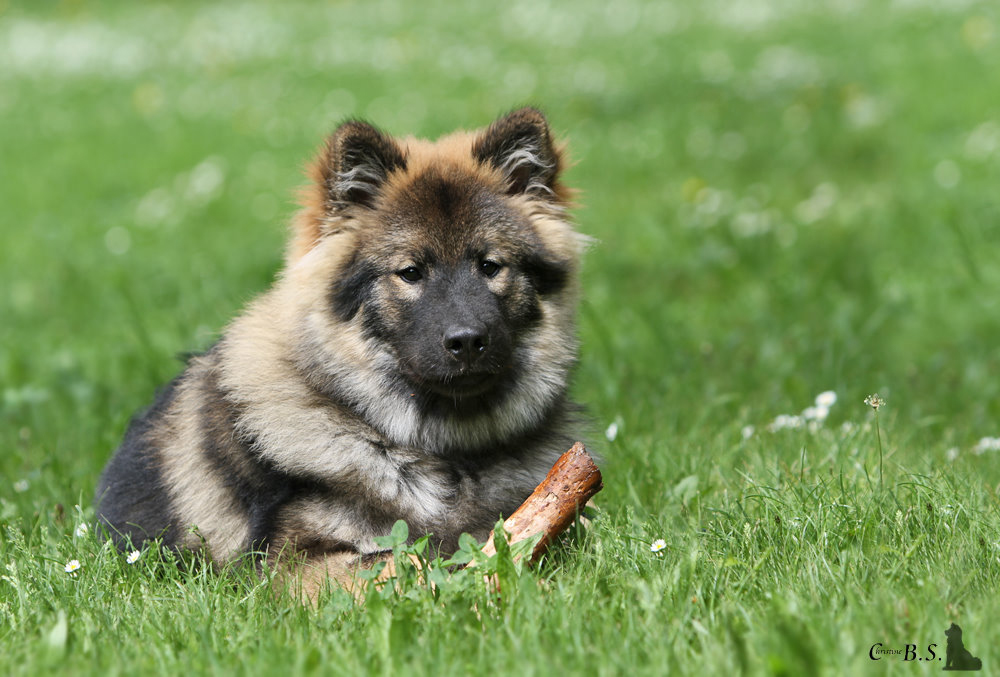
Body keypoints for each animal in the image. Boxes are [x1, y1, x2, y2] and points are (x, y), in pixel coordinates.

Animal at [94, 108, 584, 596]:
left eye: (490, 266)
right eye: (410, 272)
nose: (466, 341)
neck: (438, 454)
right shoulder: (290, 562)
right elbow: (402, 559)